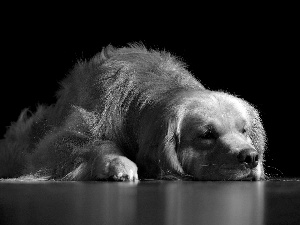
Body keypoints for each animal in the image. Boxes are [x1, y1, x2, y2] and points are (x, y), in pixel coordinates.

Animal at [0, 44, 268, 181]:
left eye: (244, 131)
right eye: (207, 135)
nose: (251, 157)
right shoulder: (59, 143)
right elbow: (92, 143)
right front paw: (116, 163)